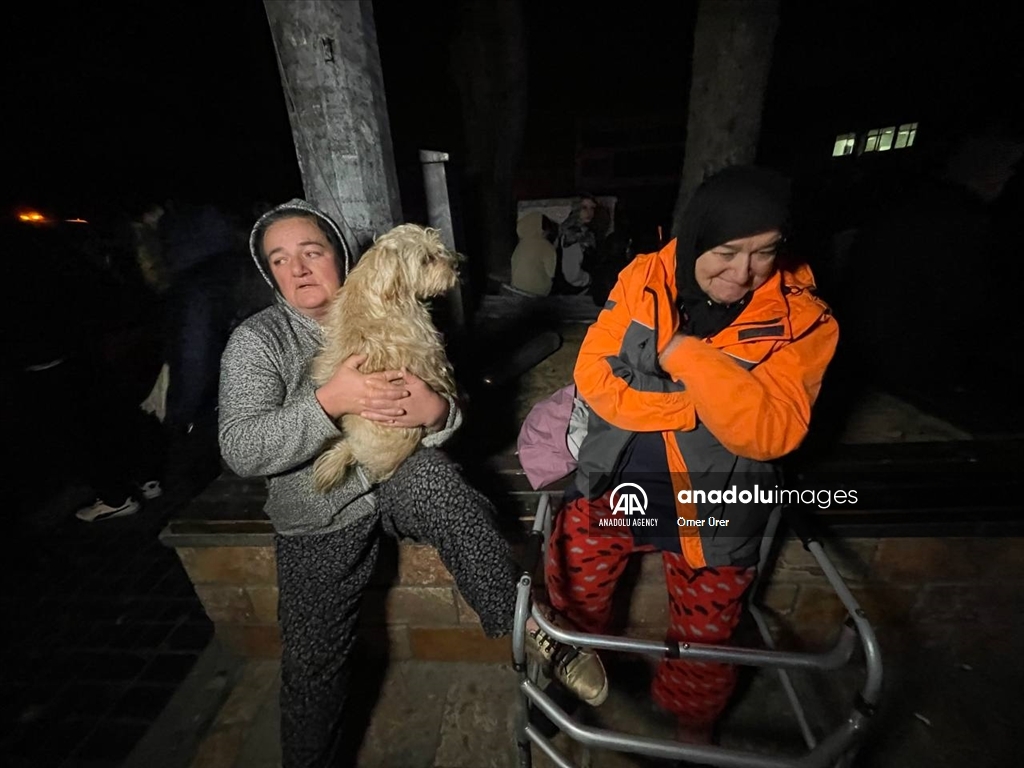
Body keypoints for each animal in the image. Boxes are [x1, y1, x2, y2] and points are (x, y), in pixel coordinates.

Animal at [310, 224, 460, 492]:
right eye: (427, 259)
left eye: (438, 249)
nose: (456, 264)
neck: (385, 287)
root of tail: (354, 449)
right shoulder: (429, 346)